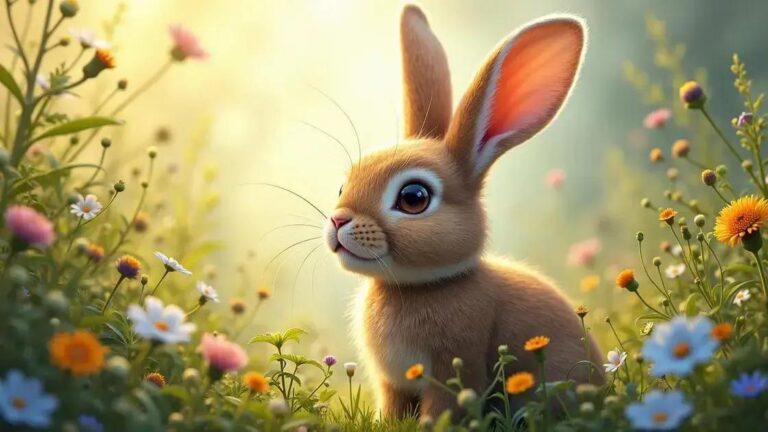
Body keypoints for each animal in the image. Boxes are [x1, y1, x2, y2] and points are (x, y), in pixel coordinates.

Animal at [323, 4, 603, 420]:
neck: (418, 286)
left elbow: (444, 408)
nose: (338, 220)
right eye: (343, 186)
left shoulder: (454, 367)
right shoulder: (393, 384)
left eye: (414, 198)